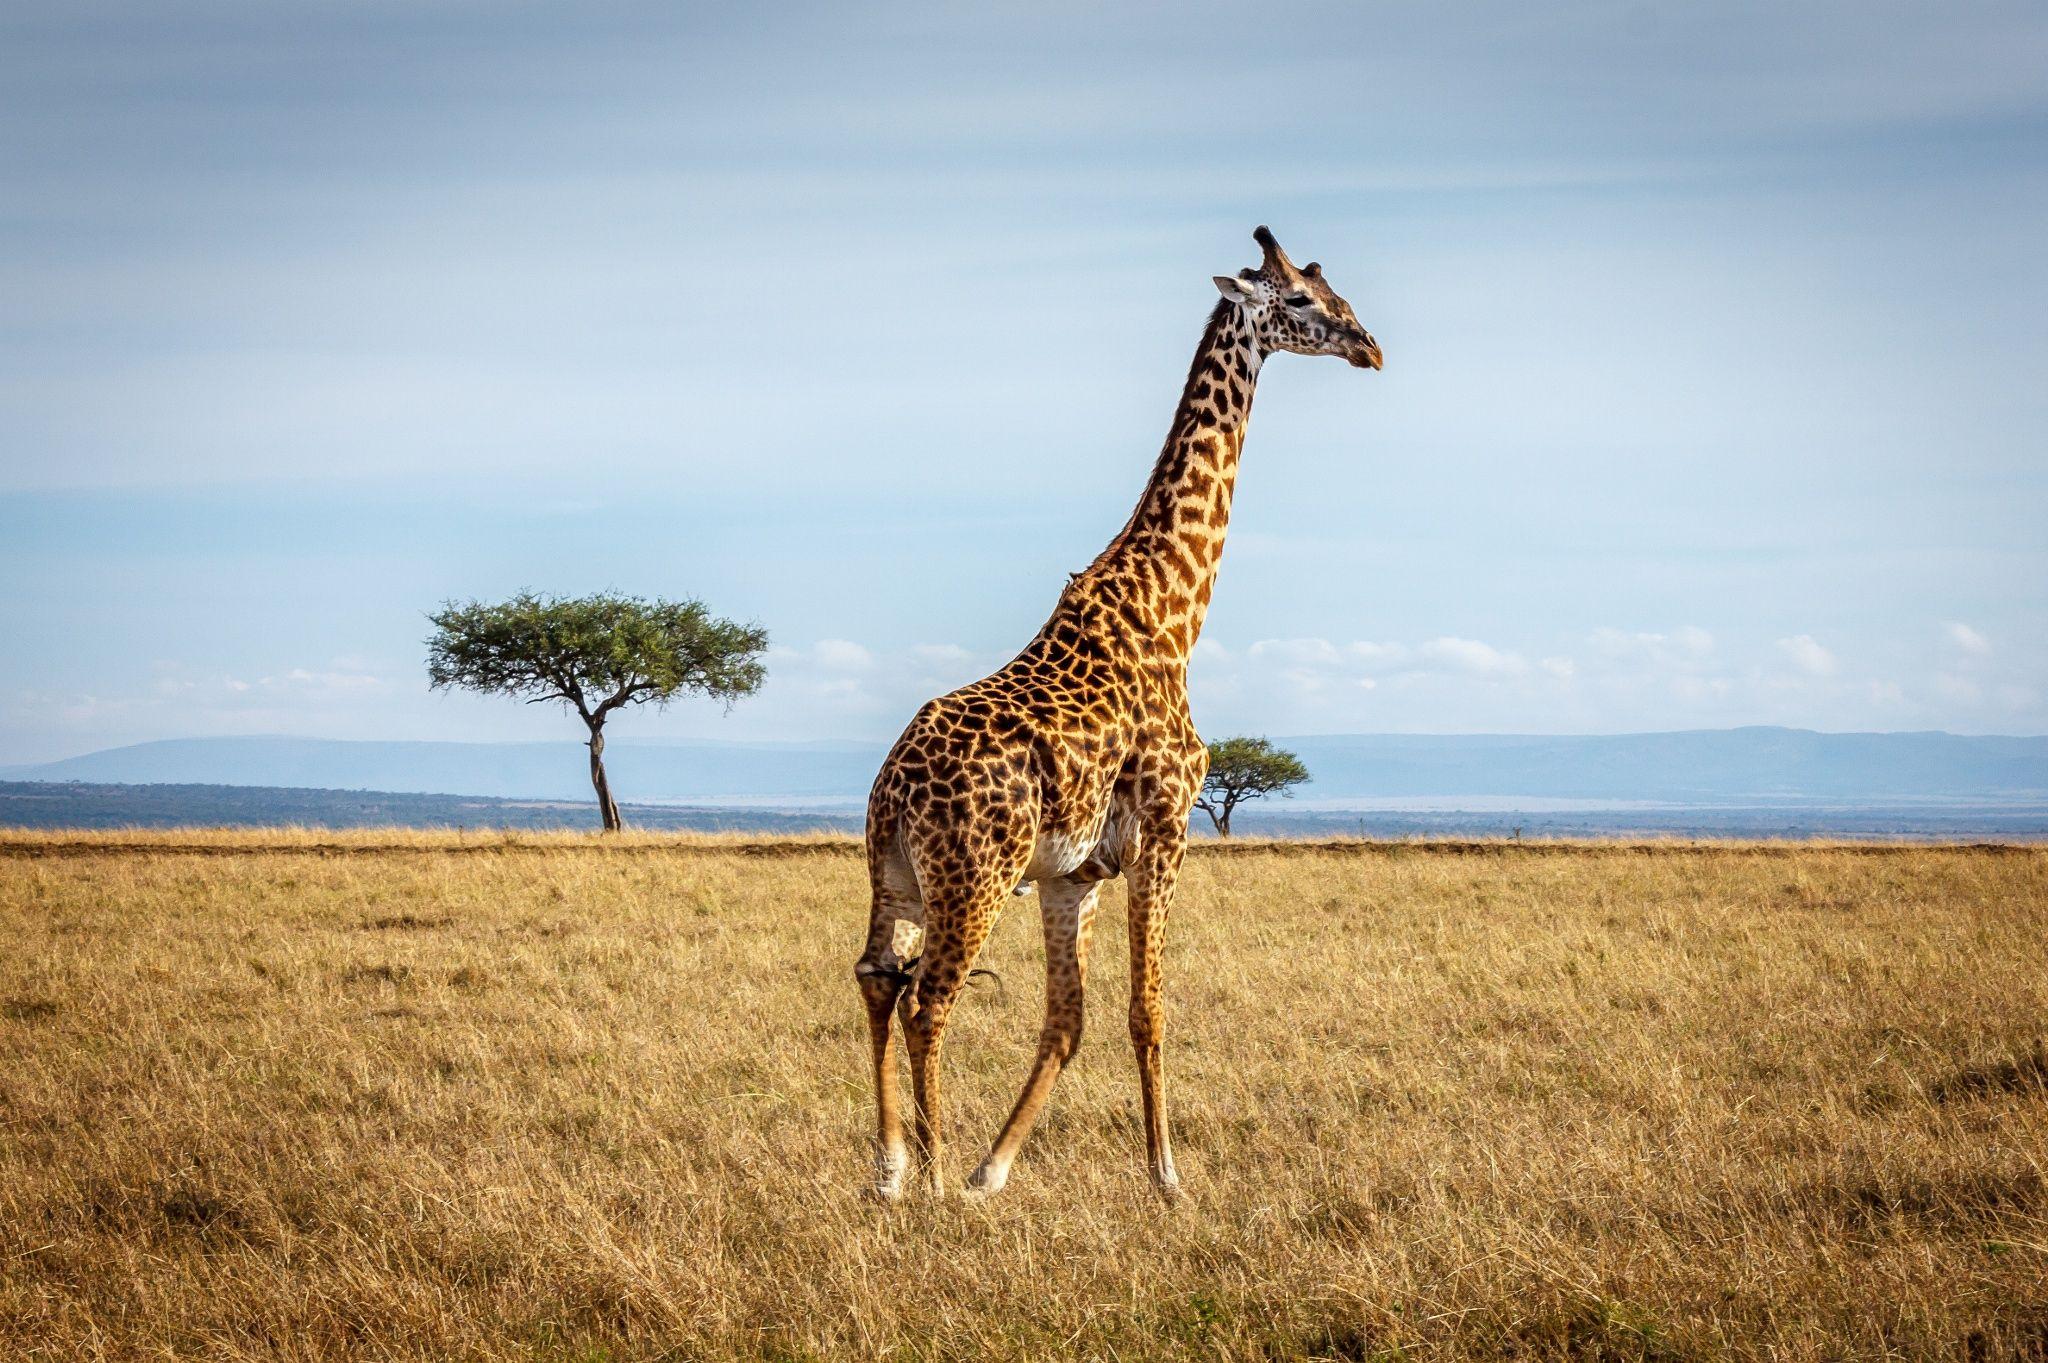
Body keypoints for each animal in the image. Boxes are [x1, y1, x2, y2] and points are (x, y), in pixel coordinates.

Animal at [855, 226, 1382, 1202]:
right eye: (1300, 300)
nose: (1369, 345)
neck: (1173, 609)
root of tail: (894, 788)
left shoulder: (1077, 873)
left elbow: (1069, 1020)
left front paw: (995, 1169)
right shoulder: (1168, 828)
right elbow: (1147, 1009)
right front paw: (1168, 1176)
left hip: (895, 876)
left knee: (876, 978)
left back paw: (893, 1168)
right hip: (976, 878)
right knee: (929, 998)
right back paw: (933, 1175)